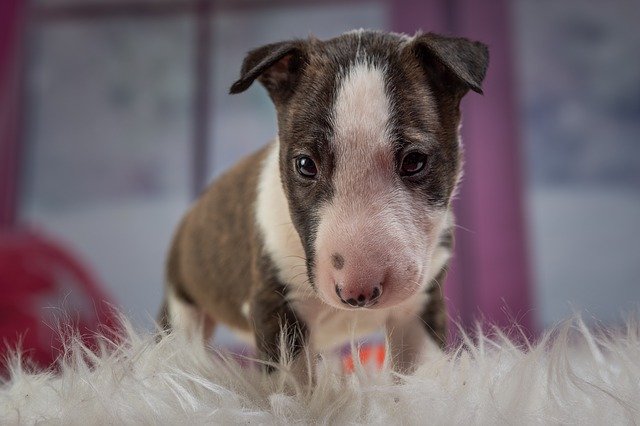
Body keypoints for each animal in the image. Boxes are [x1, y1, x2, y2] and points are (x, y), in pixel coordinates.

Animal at [158, 30, 488, 374]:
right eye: (305, 165)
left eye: (414, 161)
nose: (358, 292)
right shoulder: (277, 308)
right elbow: (293, 384)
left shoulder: (419, 307)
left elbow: (421, 374)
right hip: (181, 308)